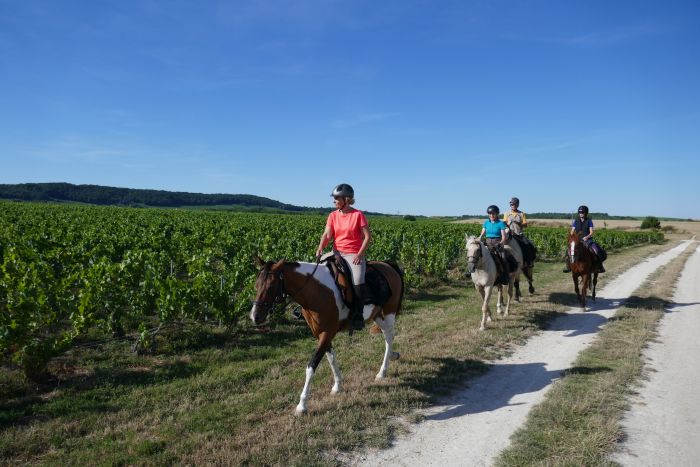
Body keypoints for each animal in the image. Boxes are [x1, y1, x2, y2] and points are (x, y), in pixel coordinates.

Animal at [252, 258, 404, 414]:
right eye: (256, 285)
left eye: (271, 286)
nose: (255, 316)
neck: (315, 291)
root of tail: (388, 265)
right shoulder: (322, 334)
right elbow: (331, 358)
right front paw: (337, 385)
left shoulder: (327, 333)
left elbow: (311, 366)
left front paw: (302, 405)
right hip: (377, 315)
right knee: (387, 336)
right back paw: (393, 355)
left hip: (389, 313)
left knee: (389, 337)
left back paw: (382, 371)